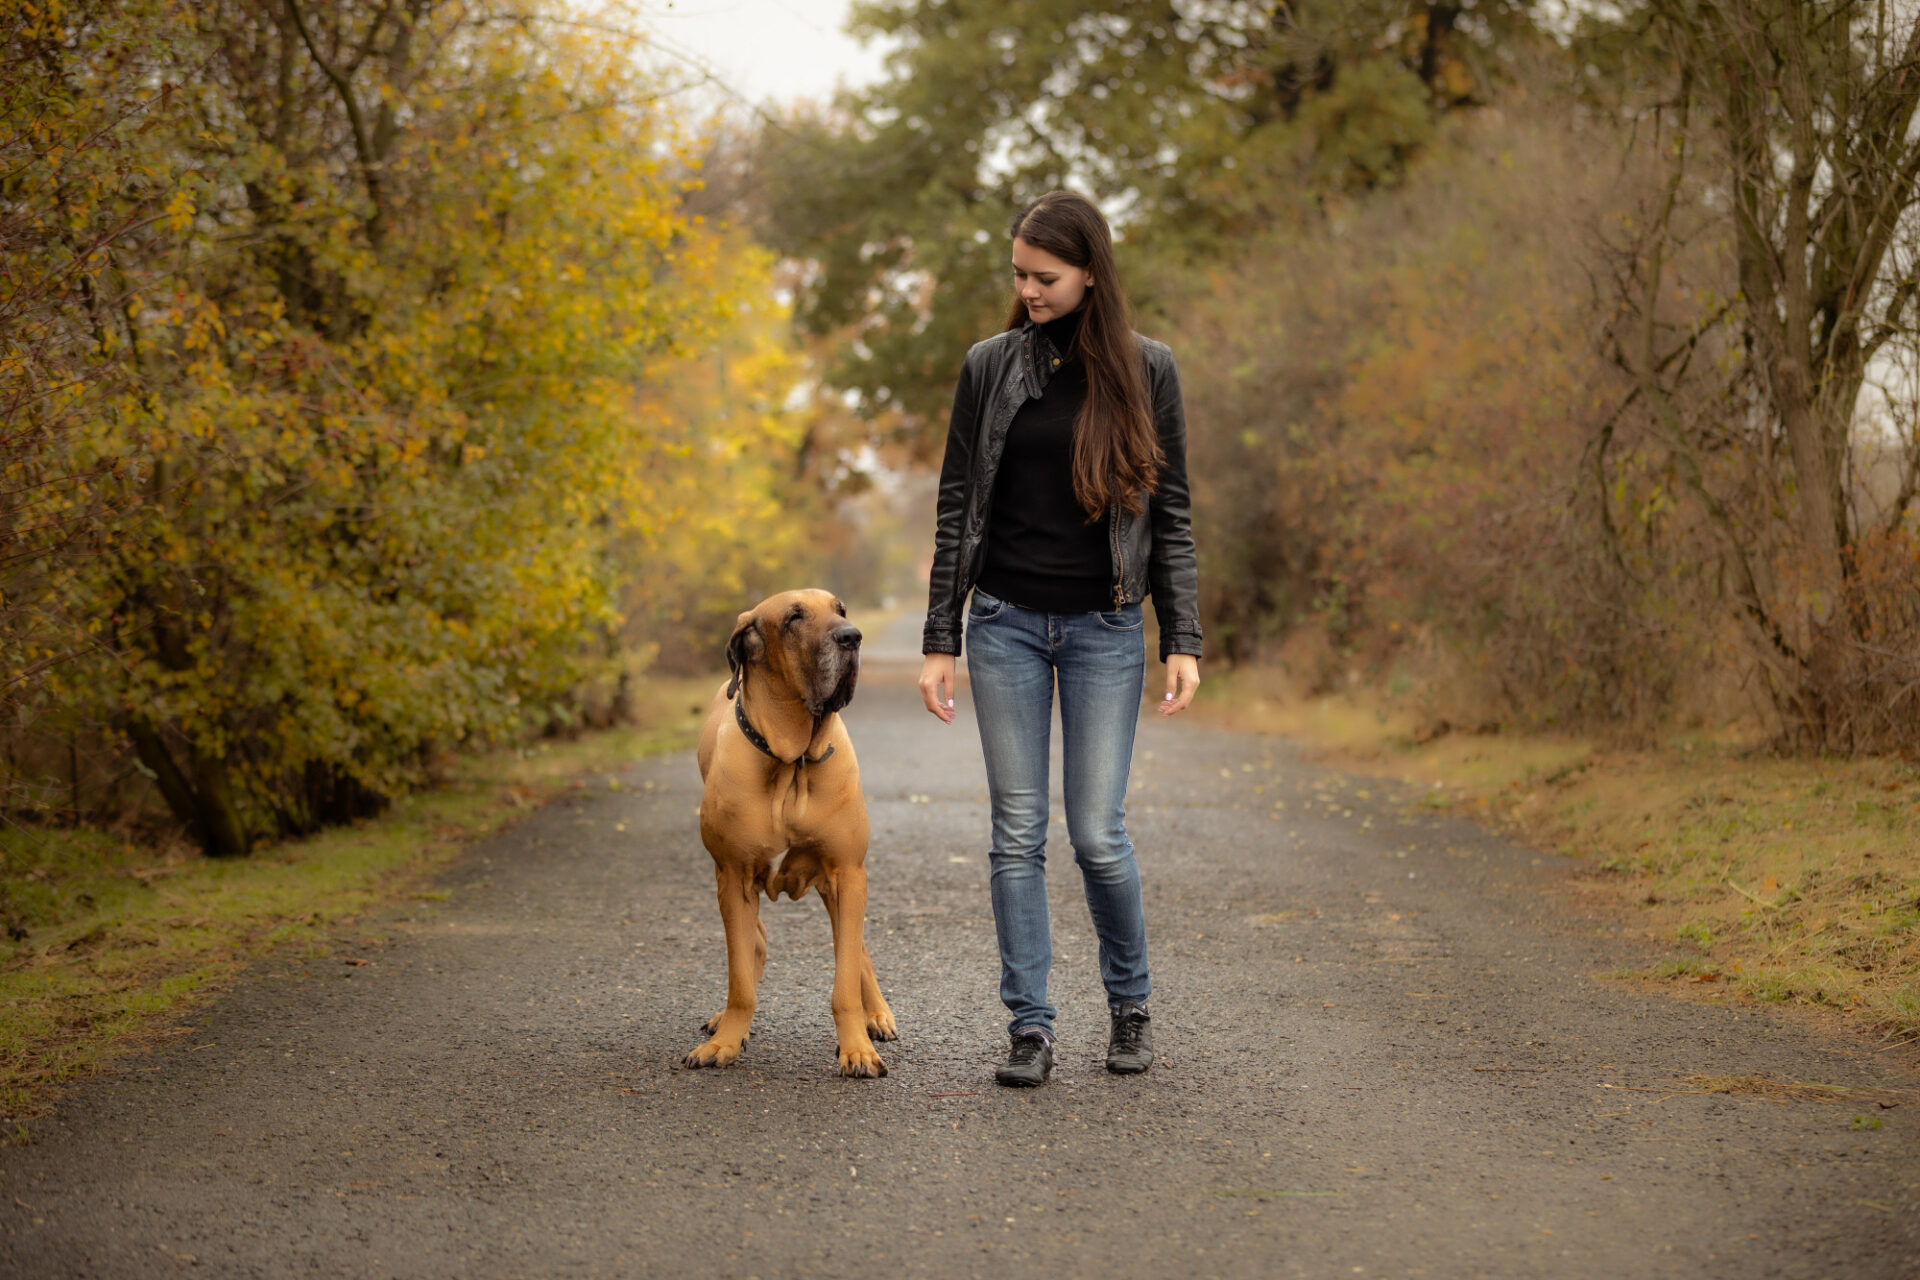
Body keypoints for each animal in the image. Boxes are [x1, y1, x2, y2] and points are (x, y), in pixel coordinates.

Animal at [691, 591, 898, 1082]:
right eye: (792, 619)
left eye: (841, 610)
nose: (852, 636)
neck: (792, 761)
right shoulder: (733, 878)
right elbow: (741, 978)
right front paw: (726, 1041)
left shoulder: (846, 873)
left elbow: (845, 978)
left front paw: (857, 1049)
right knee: (755, 943)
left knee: (858, 949)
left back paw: (877, 1015)